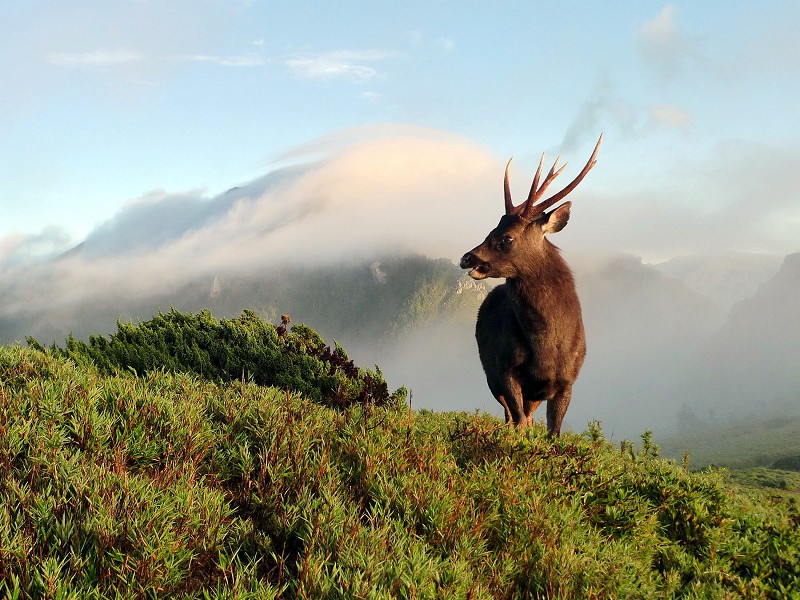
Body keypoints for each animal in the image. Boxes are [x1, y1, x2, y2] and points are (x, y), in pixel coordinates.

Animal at [460, 136, 604, 436]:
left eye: (507, 237)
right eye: (490, 230)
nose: (467, 257)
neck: (548, 347)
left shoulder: (567, 380)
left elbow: (552, 433)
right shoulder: (505, 369)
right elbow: (519, 423)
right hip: (490, 375)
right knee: (512, 417)